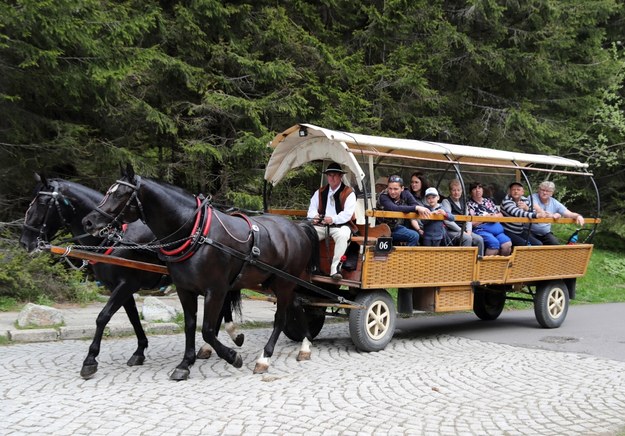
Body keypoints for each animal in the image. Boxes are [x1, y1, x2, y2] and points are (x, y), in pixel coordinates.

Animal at [19, 174, 244, 378]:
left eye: (42, 203)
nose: (24, 242)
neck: (116, 238)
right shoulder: (121, 288)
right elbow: (133, 318)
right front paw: (140, 351)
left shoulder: (126, 284)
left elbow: (103, 317)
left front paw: (90, 360)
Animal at [82, 165, 320, 380]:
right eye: (108, 191)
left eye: (120, 194)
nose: (88, 221)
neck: (196, 232)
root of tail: (297, 227)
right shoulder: (184, 289)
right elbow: (190, 325)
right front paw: (185, 363)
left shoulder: (215, 289)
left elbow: (206, 329)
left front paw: (233, 357)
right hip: (275, 281)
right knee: (296, 304)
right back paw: (305, 345)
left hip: (284, 282)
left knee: (280, 318)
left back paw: (265, 358)